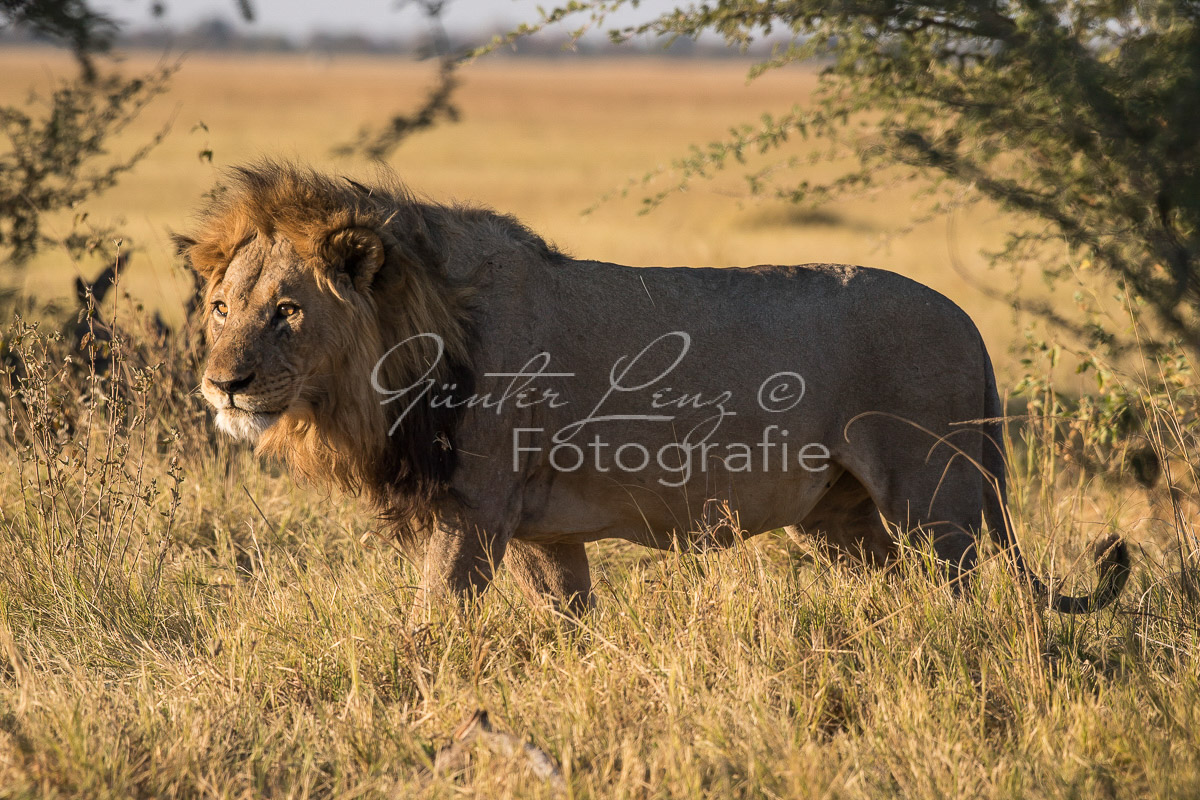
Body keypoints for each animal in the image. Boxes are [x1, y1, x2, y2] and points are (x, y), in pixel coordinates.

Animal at [174, 160, 1128, 614]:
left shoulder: (471, 512)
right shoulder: (541, 533)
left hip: (937, 502)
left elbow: (429, 624)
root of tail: (968, 321)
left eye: (288, 311)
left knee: (976, 605)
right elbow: (571, 624)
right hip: (847, 521)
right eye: (220, 306)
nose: (223, 386)